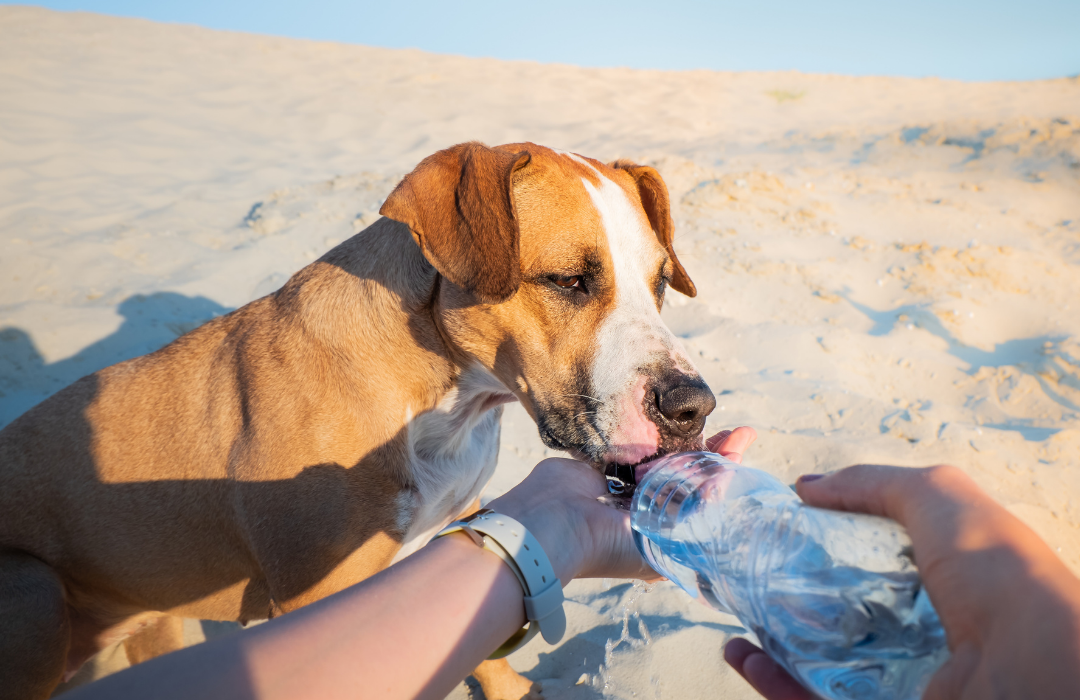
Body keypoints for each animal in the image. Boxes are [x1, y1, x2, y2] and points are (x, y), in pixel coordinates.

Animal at [0, 142, 712, 700]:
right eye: (567, 281)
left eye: (660, 284)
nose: (693, 406)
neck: (445, 401)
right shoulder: (317, 599)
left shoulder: (464, 511)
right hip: (33, 596)